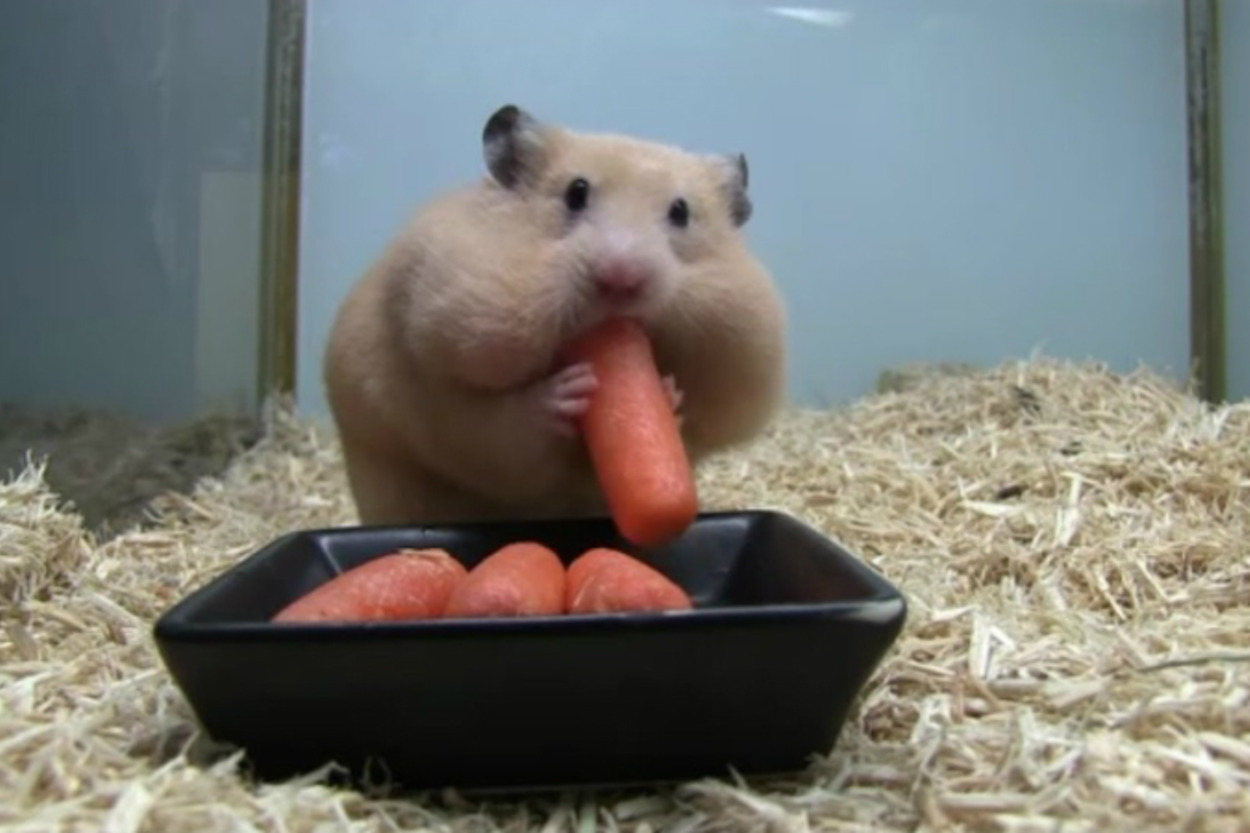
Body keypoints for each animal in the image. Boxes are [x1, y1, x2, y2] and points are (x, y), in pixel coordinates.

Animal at [323, 104, 787, 527]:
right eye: (575, 193)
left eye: (681, 212)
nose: (621, 279)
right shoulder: (443, 392)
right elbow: (504, 427)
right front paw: (570, 390)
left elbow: (689, 420)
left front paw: (667, 391)